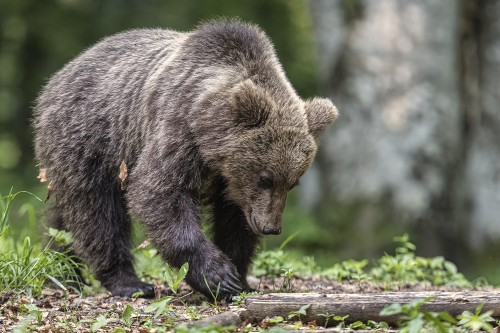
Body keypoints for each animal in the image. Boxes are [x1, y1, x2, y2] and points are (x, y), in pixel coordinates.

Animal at [33, 20, 338, 300]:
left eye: (292, 183)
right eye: (266, 178)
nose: (271, 227)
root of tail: (59, 76)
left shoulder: (235, 186)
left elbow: (234, 222)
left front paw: (239, 278)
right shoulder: (179, 130)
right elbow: (160, 192)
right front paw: (218, 276)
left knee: (62, 220)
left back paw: (62, 270)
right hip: (92, 140)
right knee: (98, 214)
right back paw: (129, 282)